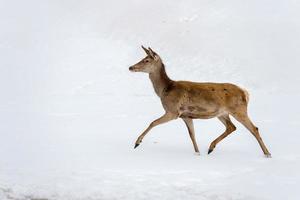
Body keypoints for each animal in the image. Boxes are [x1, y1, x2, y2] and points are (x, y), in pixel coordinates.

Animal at [129, 46, 272, 157]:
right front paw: (197, 153)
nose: (131, 67)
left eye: (146, 60)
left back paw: (267, 153)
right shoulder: (186, 116)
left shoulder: (173, 111)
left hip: (238, 109)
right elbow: (192, 134)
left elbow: (153, 122)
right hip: (222, 113)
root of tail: (245, 93)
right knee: (232, 127)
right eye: (142, 58)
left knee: (254, 128)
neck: (165, 89)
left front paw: (137, 142)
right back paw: (210, 148)